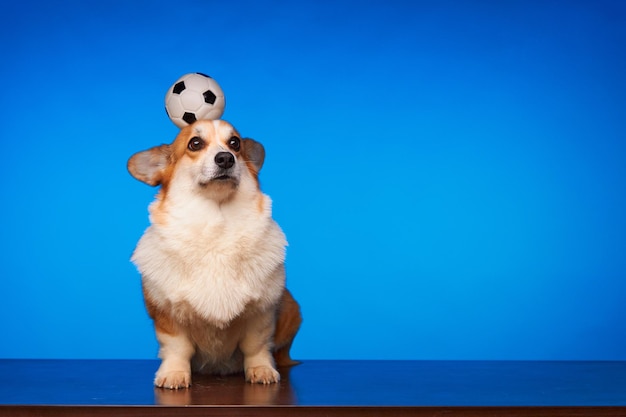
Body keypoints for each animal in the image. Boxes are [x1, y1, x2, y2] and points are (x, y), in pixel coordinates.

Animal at [127, 118, 300, 388]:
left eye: (235, 143)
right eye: (195, 143)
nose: (226, 158)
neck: (216, 222)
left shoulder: (261, 313)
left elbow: (256, 346)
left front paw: (261, 370)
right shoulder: (167, 315)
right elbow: (177, 348)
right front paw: (174, 373)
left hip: (291, 307)